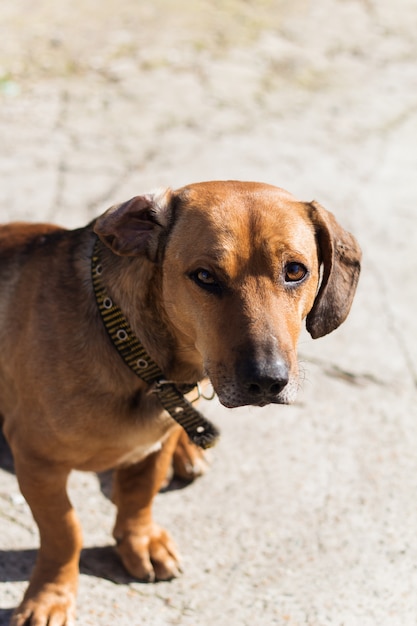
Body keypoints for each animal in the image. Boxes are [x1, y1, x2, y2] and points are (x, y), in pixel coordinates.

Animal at [0, 179, 360, 620]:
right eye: (204, 276)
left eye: (295, 271)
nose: (266, 381)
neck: (138, 356)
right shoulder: (38, 463)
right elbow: (65, 532)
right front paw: (51, 596)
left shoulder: (155, 442)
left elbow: (139, 496)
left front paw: (139, 541)